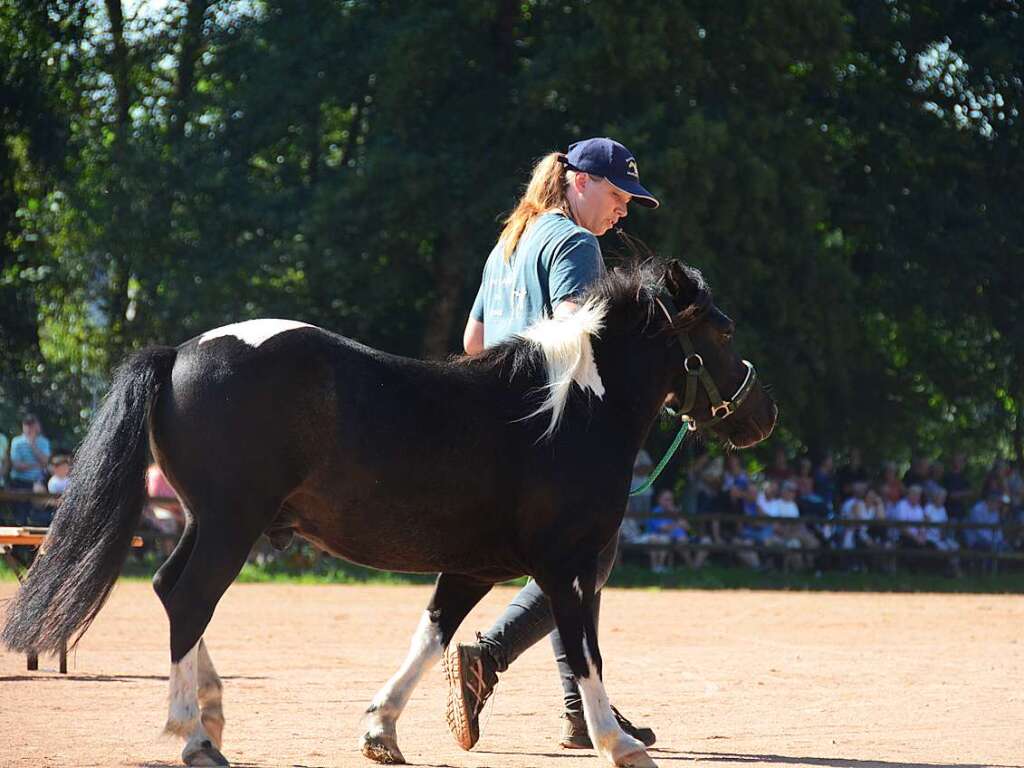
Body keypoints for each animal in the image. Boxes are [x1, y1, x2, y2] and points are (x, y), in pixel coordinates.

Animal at [2, 260, 774, 768]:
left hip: (207, 521)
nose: (761, 416)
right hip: (230, 523)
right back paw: (195, 736)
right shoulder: (567, 566)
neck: (568, 409)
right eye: (722, 329)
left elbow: (431, 636)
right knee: (191, 599)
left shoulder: (475, 566)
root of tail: (180, 353)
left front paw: (382, 729)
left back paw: (213, 715)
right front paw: (620, 740)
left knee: (170, 591)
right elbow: (585, 650)